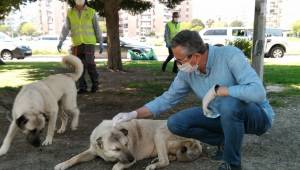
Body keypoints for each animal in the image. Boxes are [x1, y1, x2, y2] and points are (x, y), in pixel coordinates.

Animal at [55, 119, 203, 170]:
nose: (132, 159)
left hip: (159, 134)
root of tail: (196, 140)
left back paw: (153, 165)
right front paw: (62, 164)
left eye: (127, 144)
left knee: (165, 161)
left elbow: (116, 166)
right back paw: (156, 160)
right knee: (170, 157)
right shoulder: (92, 151)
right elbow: (75, 157)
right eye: (116, 149)